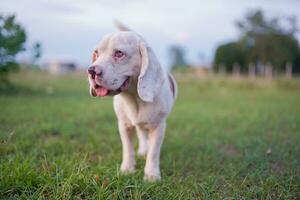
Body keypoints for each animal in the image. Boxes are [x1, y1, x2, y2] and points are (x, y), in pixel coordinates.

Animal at [86, 23, 177, 181]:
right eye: (96, 53)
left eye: (119, 53)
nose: (91, 71)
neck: (134, 97)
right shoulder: (124, 125)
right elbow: (127, 148)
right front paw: (128, 169)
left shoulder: (158, 127)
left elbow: (154, 152)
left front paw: (151, 175)